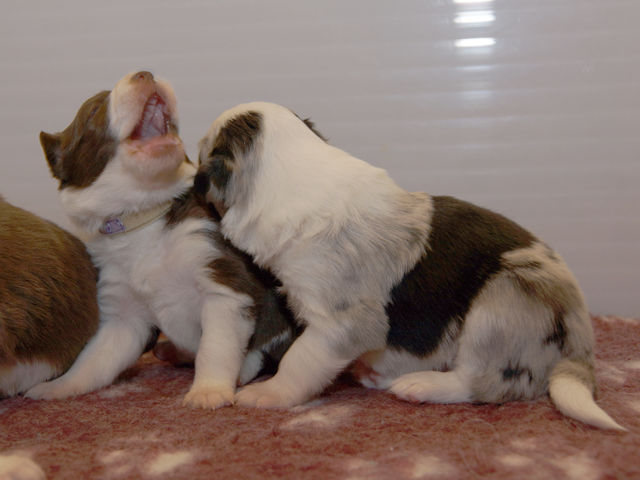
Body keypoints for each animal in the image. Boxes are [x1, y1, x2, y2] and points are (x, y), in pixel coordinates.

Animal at [25, 73, 296, 408]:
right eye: (94, 110)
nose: (145, 73)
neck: (144, 217)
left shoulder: (224, 286)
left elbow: (215, 348)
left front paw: (208, 392)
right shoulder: (123, 315)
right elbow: (93, 361)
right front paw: (56, 387)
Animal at [194, 101, 624, 430]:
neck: (291, 173)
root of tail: (581, 339)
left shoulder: (342, 322)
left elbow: (300, 359)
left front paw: (266, 394)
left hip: (501, 304)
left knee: (487, 382)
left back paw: (420, 385)